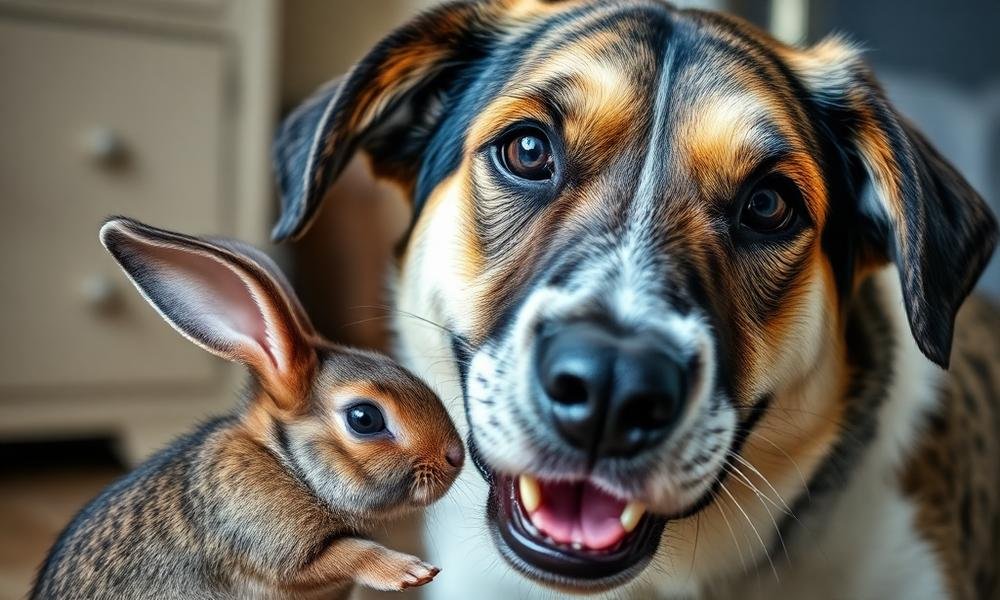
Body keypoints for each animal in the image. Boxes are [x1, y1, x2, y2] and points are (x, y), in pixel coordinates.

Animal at [31, 217, 465, 600]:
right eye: (365, 418)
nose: (455, 457)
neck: (286, 464)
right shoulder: (273, 544)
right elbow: (349, 553)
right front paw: (411, 571)